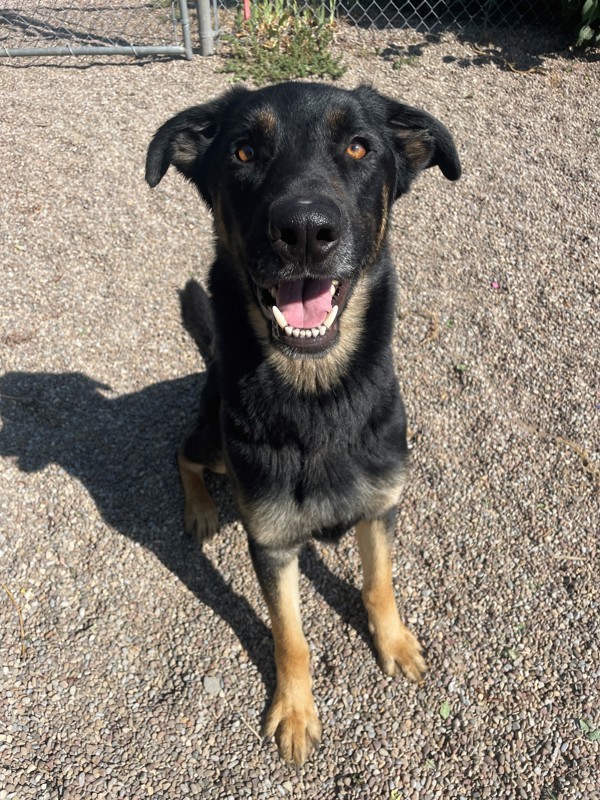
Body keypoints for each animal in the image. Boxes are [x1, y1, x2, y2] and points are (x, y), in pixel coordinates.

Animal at [144, 81, 460, 764]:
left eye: (359, 147)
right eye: (243, 151)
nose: (306, 231)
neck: (318, 402)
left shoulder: (380, 508)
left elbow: (379, 583)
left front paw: (393, 642)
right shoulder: (271, 542)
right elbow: (289, 635)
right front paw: (293, 710)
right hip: (215, 440)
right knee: (184, 452)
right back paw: (201, 508)